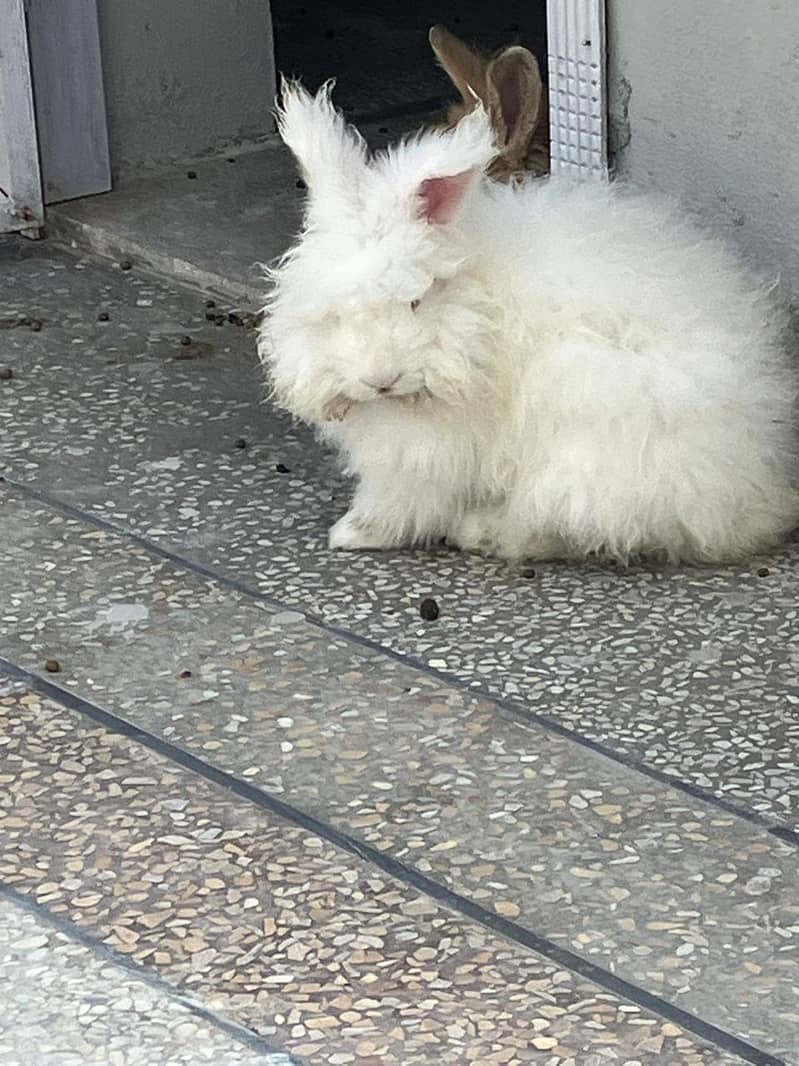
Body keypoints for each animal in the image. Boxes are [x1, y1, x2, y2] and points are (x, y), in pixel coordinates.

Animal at [259, 81, 796, 567]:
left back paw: (484, 533)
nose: (380, 379)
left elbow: (401, 497)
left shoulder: (427, 452)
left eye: (415, 301)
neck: (474, 317)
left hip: (589, 426)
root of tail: (760, 495)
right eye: (334, 314)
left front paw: (354, 533)